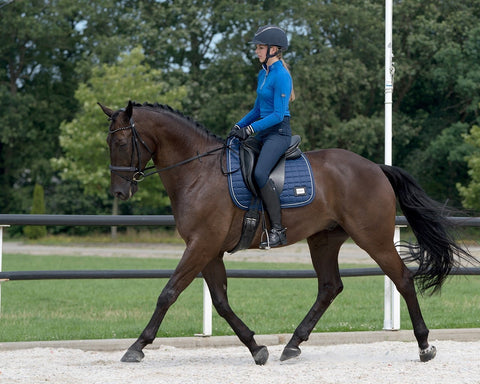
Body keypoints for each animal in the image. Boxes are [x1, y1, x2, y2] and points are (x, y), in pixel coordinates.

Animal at [99, 101, 474, 366]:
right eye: (108, 142)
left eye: (122, 141)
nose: (119, 192)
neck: (198, 170)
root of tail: (375, 167)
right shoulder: (208, 249)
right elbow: (220, 301)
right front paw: (256, 347)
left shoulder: (201, 245)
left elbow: (168, 293)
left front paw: (137, 347)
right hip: (324, 239)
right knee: (330, 287)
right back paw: (293, 345)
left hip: (374, 238)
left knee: (402, 280)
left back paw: (424, 345)